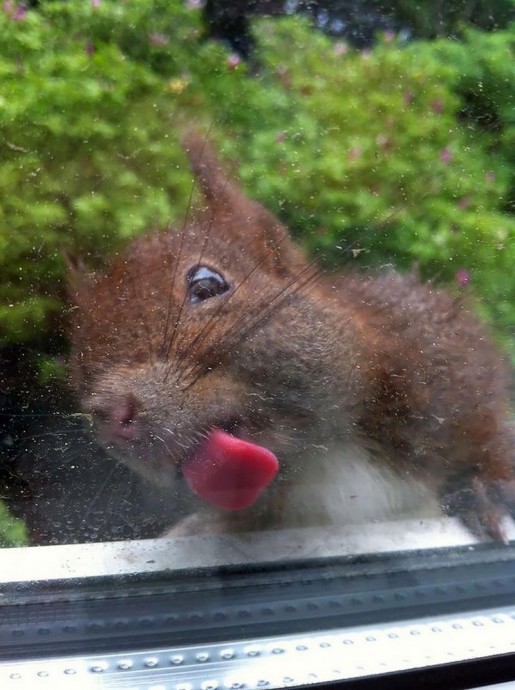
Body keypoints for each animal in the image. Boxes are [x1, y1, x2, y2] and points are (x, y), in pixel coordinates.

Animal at [67, 133, 515, 544]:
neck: (320, 458)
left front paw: (491, 491)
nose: (110, 414)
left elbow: (491, 426)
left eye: (207, 285)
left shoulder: (442, 360)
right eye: (78, 372)